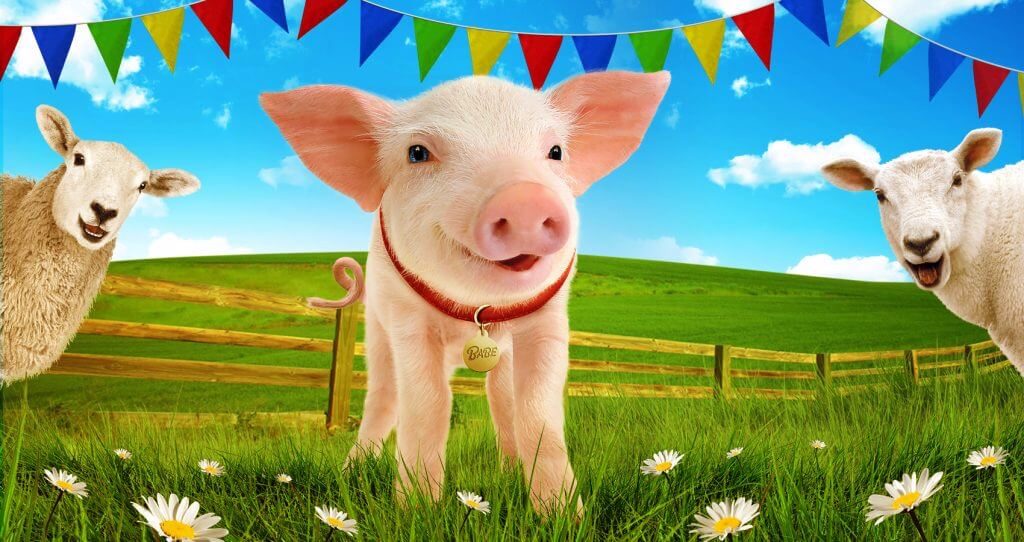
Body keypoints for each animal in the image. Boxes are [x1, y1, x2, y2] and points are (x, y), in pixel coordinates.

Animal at [260, 71, 670, 514]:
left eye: (556, 151)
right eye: (417, 153)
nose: (524, 197)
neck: (476, 312)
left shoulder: (548, 322)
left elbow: (535, 410)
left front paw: (563, 516)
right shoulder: (407, 322)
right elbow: (430, 405)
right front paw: (417, 511)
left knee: (500, 399)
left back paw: (508, 473)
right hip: (377, 330)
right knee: (384, 397)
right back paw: (352, 472)